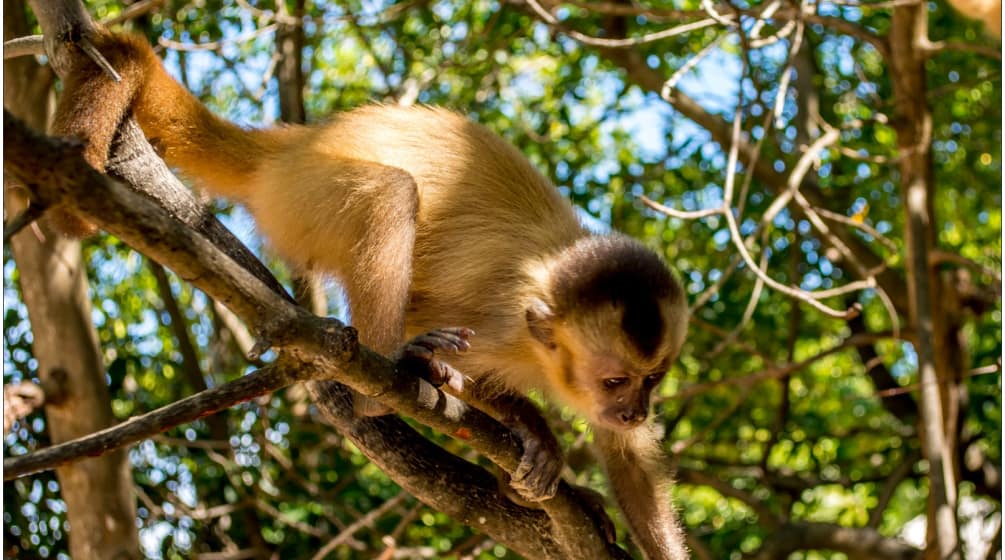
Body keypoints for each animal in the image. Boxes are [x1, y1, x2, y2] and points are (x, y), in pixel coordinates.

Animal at [51, 30, 687, 558]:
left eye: (651, 380)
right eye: (614, 380)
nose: (635, 408)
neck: (543, 344)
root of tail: (291, 147)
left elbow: (627, 456)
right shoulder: (504, 328)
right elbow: (464, 359)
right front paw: (533, 431)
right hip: (303, 197)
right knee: (390, 194)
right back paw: (391, 377)